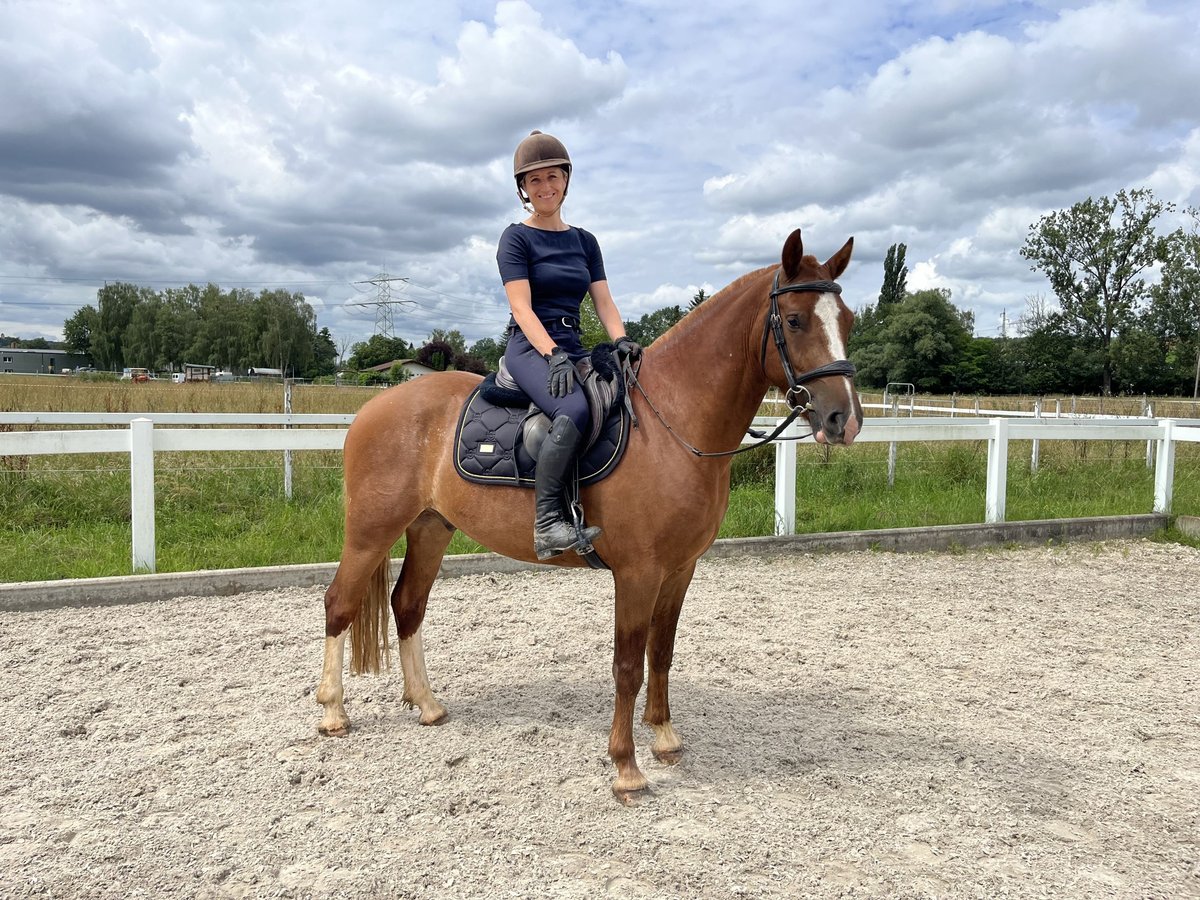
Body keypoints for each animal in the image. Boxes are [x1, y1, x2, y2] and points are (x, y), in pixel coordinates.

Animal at [319, 229, 864, 806]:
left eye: (848, 320)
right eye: (795, 320)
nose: (844, 419)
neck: (674, 421)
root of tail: (373, 408)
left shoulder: (680, 569)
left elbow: (661, 652)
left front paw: (664, 736)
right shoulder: (638, 572)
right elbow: (627, 665)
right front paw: (626, 766)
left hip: (430, 528)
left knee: (408, 606)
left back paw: (427, 705)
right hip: (371, 531)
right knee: (340, 603)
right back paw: (332, 712)